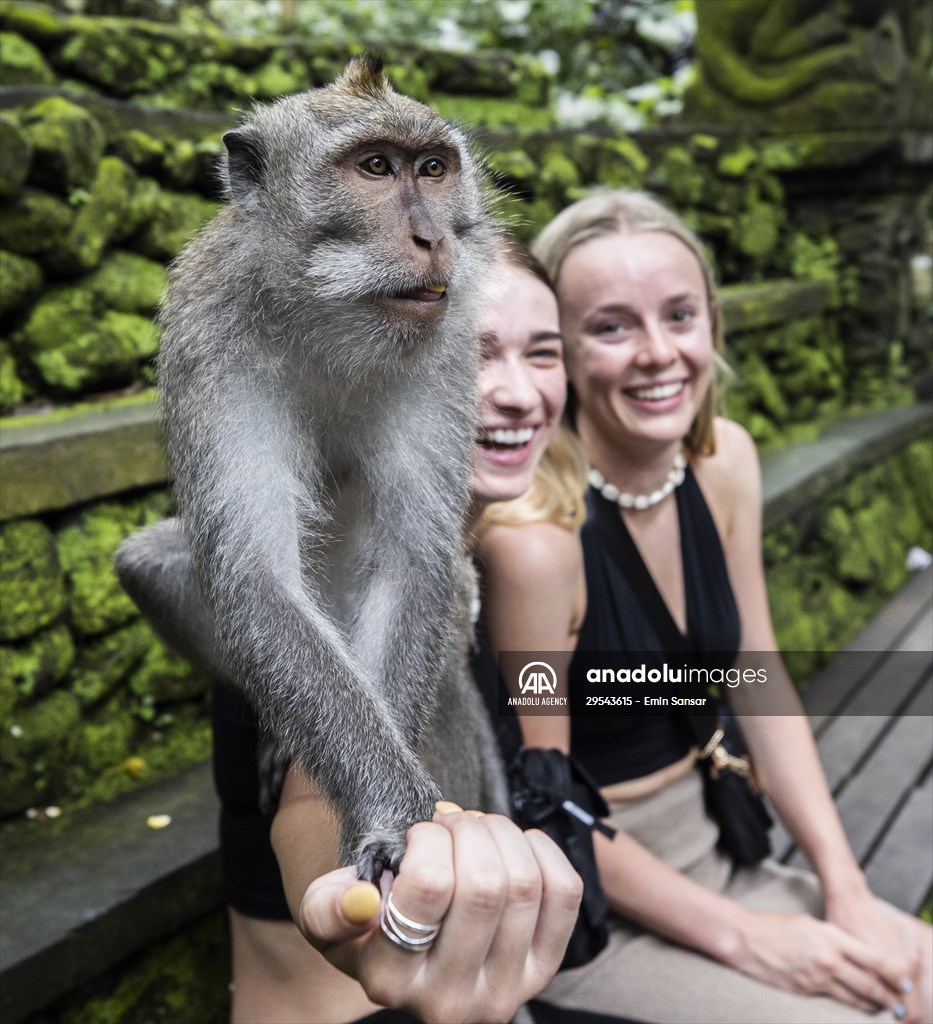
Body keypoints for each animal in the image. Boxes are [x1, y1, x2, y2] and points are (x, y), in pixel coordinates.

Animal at [116, 56, 508, 882]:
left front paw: (393, 821)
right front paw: (388, 811)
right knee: (150, 563)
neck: (325, 318)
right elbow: (254, 579)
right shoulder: (207, 333)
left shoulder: (447, 340)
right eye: (374, 167)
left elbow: (412, 561)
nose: (431, 236)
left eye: (431, 168)